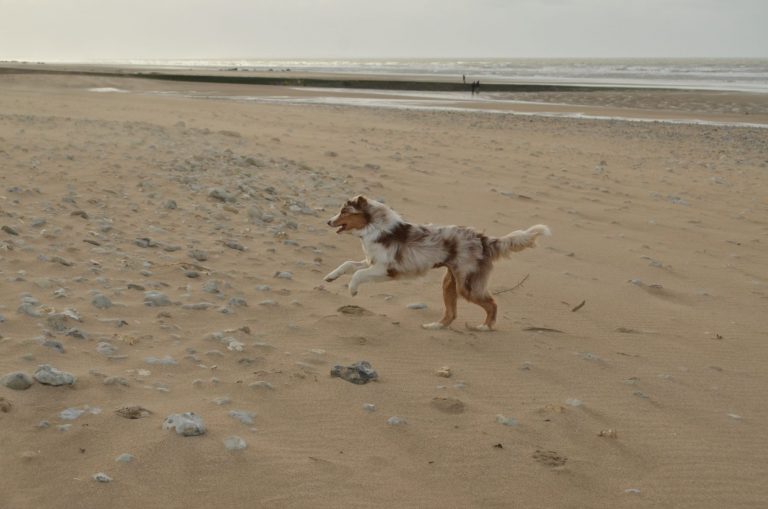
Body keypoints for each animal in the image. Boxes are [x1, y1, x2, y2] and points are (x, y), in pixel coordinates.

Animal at [324, 193, 552, 330]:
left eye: (343, 211)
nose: (327, 221)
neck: (375, 227)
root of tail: (483, 238)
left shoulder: (386, 269)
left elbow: (357, 273)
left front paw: (353, 290)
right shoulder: (370, 261)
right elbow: (348, 264)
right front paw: (330, 277)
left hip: (466, 285)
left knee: (492, 304)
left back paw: (485, 327)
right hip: (449, 283)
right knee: (452, 313)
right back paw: (435, 326)